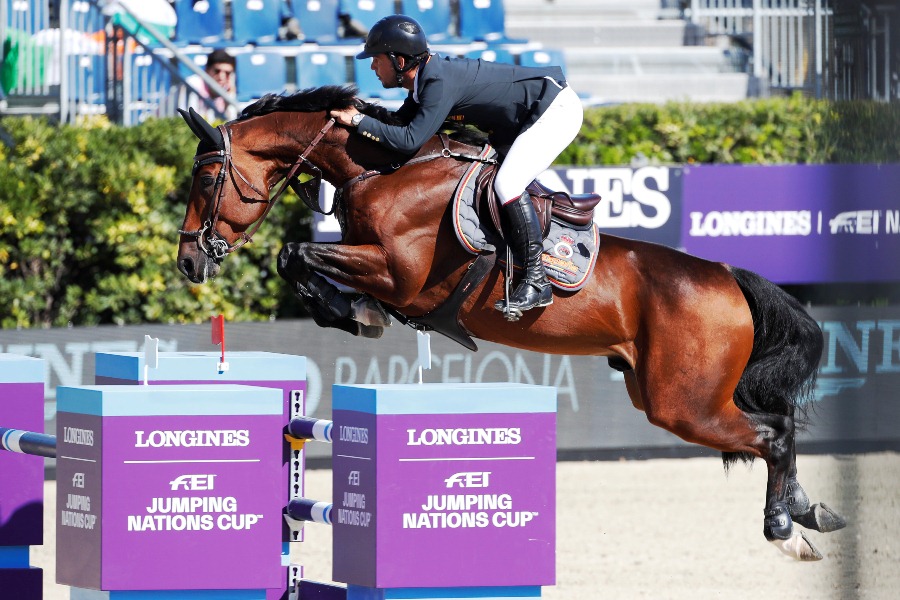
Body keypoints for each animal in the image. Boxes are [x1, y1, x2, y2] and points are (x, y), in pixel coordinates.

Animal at [176, 85, 844, 564]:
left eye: (205, 179)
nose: (189, 261)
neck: (385, 172)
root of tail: (727, 276)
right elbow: (302, 258)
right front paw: (353, 312)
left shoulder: (398, 273)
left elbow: (296, 253)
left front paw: (350, 310)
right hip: (672, 394)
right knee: (778, 425)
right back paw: (809, 510)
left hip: (683, 403)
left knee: (772, 434)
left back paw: (785, 530)